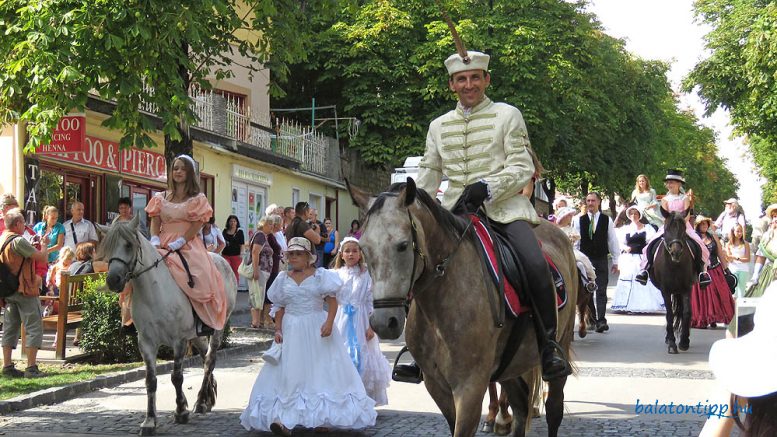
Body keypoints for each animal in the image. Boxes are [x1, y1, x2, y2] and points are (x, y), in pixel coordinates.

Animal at [98, 215, 236, 436]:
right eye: (108, 247)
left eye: (128, 245)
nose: (113, 280)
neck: (154, 291)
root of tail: (221, 259)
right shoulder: (146, 343)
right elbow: (150, 381)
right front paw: (149, 421)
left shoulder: (178, 340)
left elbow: (177, 377)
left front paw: (181, 411)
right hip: (195, 335)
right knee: (205, 355)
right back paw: (207, 397)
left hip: (218, 328)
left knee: (209, 360)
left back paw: (201, 402)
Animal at [348, 179, 576, 434]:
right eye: (363, 248)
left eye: (403, 245)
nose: (384, 322)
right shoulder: (436, 385)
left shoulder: (470, 387)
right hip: (510, 365)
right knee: (520, 406)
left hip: (562, 344)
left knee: (554, 408)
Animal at [652, 209, 696, 354]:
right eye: (666, 229)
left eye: (684, 229)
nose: (675, 252)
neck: (674, 265)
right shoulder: (665, 291)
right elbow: (670, 315)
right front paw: (672, 342)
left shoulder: (687, 288)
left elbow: (686, 312)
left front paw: (684, 342)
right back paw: (668, 338)